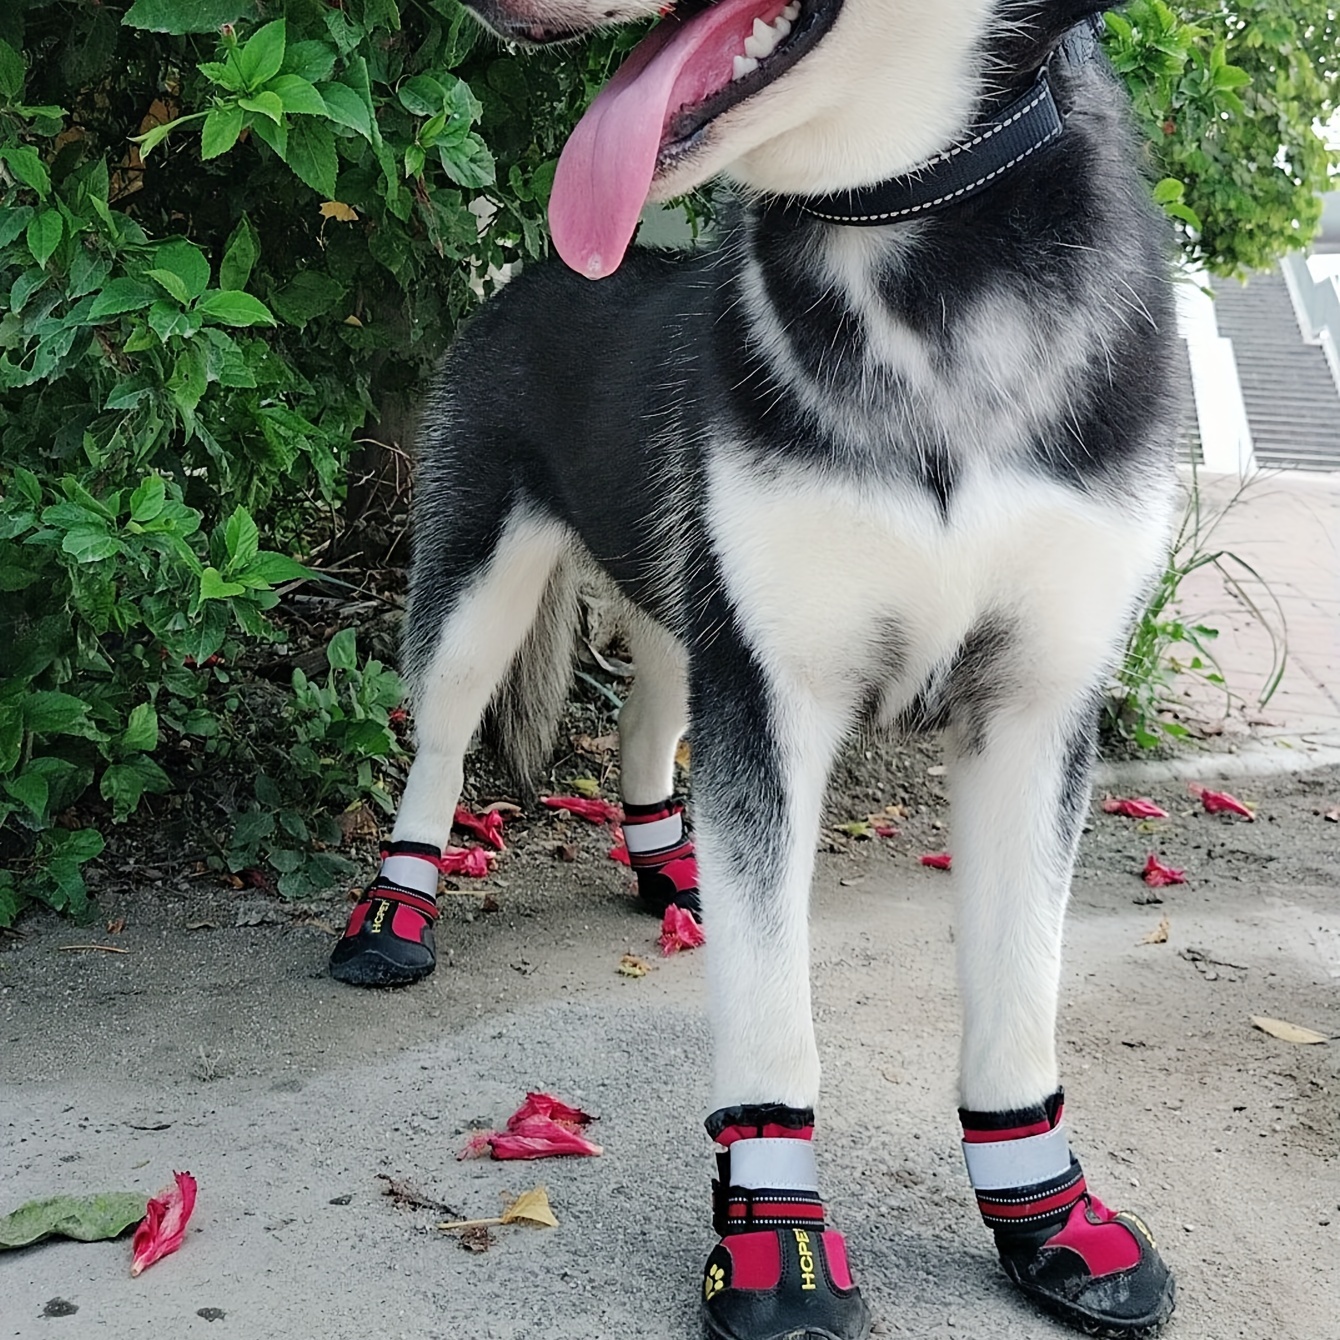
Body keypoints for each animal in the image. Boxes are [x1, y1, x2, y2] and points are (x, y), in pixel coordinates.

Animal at [326, 5, 1184, 1334]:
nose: (477, 9)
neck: (908, 245)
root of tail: (536, 268)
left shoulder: (1034, 709)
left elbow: (1018, 990)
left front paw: (1048, 1217)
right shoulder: (773, 691)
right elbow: (772, 1004)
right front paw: (776, 1240)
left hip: (685, 603)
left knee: (643, 729)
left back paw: (667, 866)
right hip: (480, 575)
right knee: (442, 737)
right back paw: (395, 910)